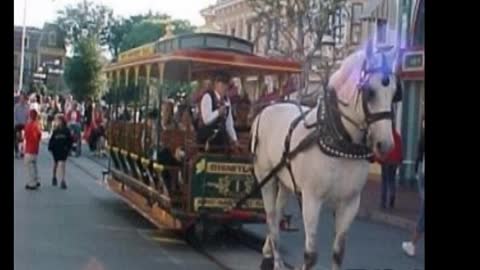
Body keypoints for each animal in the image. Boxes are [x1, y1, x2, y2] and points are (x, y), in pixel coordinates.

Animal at [249, 40, 400, 270]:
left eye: (394, 93)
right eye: (370, 92)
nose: (386, 144)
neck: (340, 140)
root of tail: (265, 110)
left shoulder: (350, 202)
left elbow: (338, 253)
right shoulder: (312, 199)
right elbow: (311, 255)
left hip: (284, 179)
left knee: (277, 214)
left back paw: (268, 254)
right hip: (265, 176)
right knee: (271, 215)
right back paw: (275, 262)